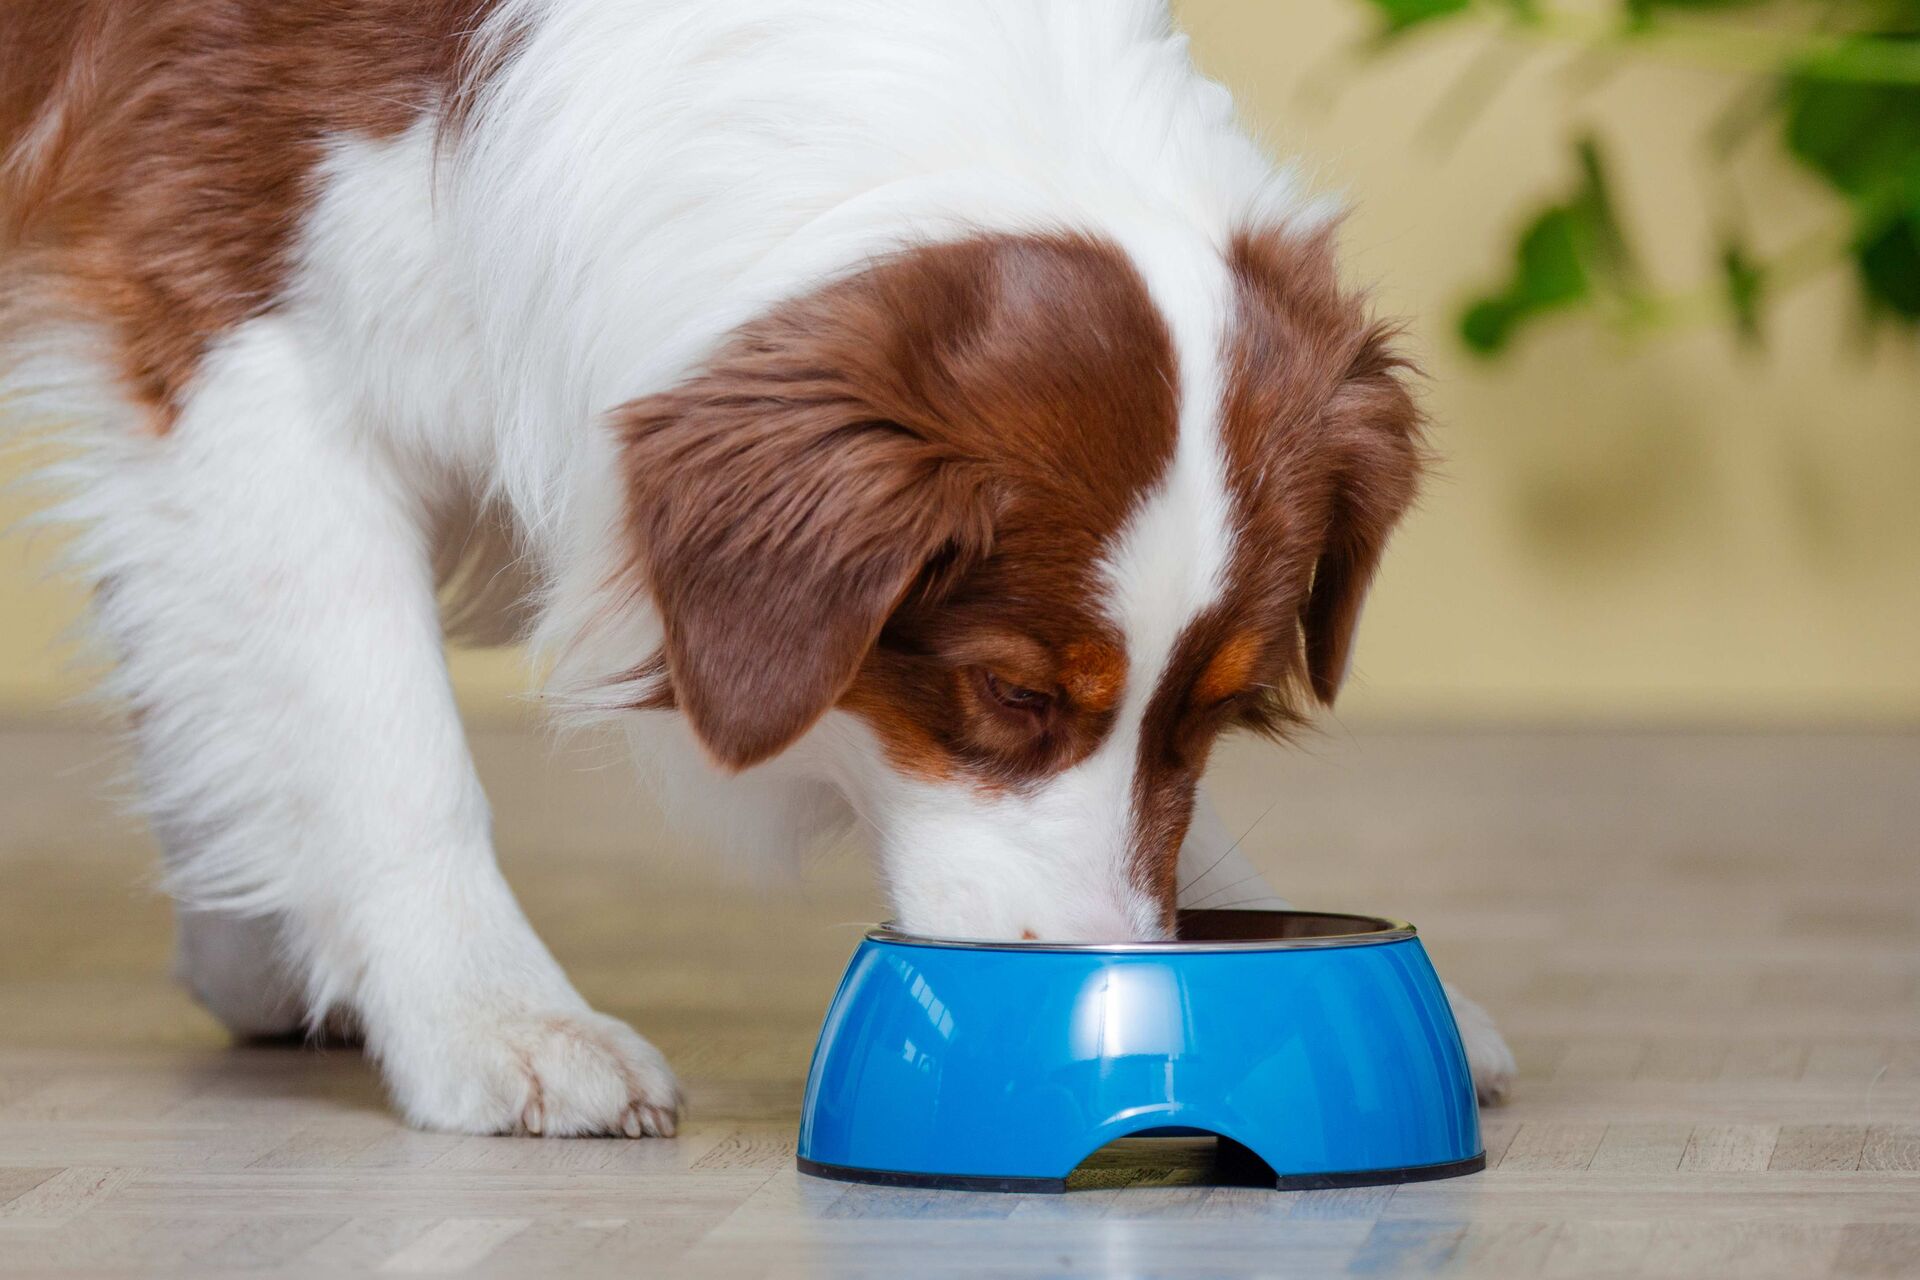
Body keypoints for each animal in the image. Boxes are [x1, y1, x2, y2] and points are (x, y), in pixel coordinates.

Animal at [0, 2, 1512, 1143]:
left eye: (1218, 714)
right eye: (1009, 695)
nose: (1101, 975)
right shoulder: (229, 320)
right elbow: (384, 738)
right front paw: (491, 1015)